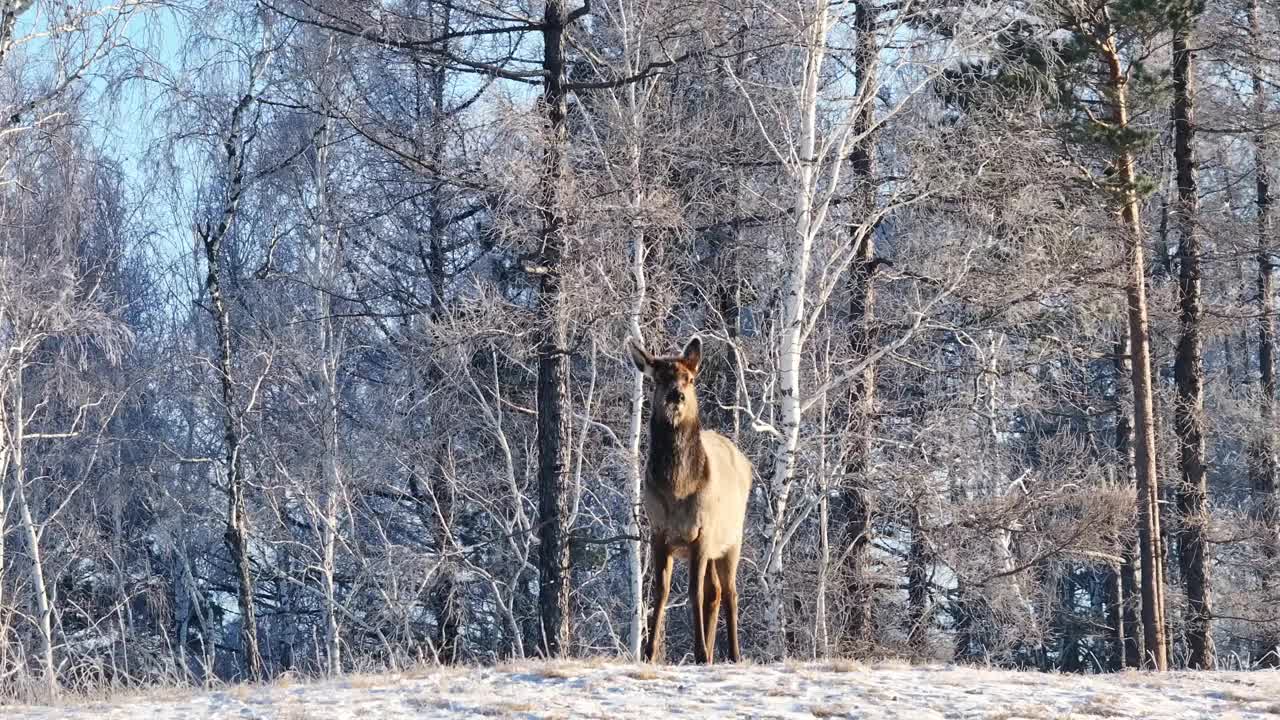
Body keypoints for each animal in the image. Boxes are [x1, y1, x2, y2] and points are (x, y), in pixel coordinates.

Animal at [627, 335, 752, 661]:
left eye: (690, 379)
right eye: (659, 378)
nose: (677, 396)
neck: (678, 489)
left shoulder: (702, 532)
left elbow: (693, 592)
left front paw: (700, 651)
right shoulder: (658, 532)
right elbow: (661, 592)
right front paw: (649, 652)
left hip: (731, 538)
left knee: (730, 592)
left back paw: (733, 654)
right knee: (715, 591)